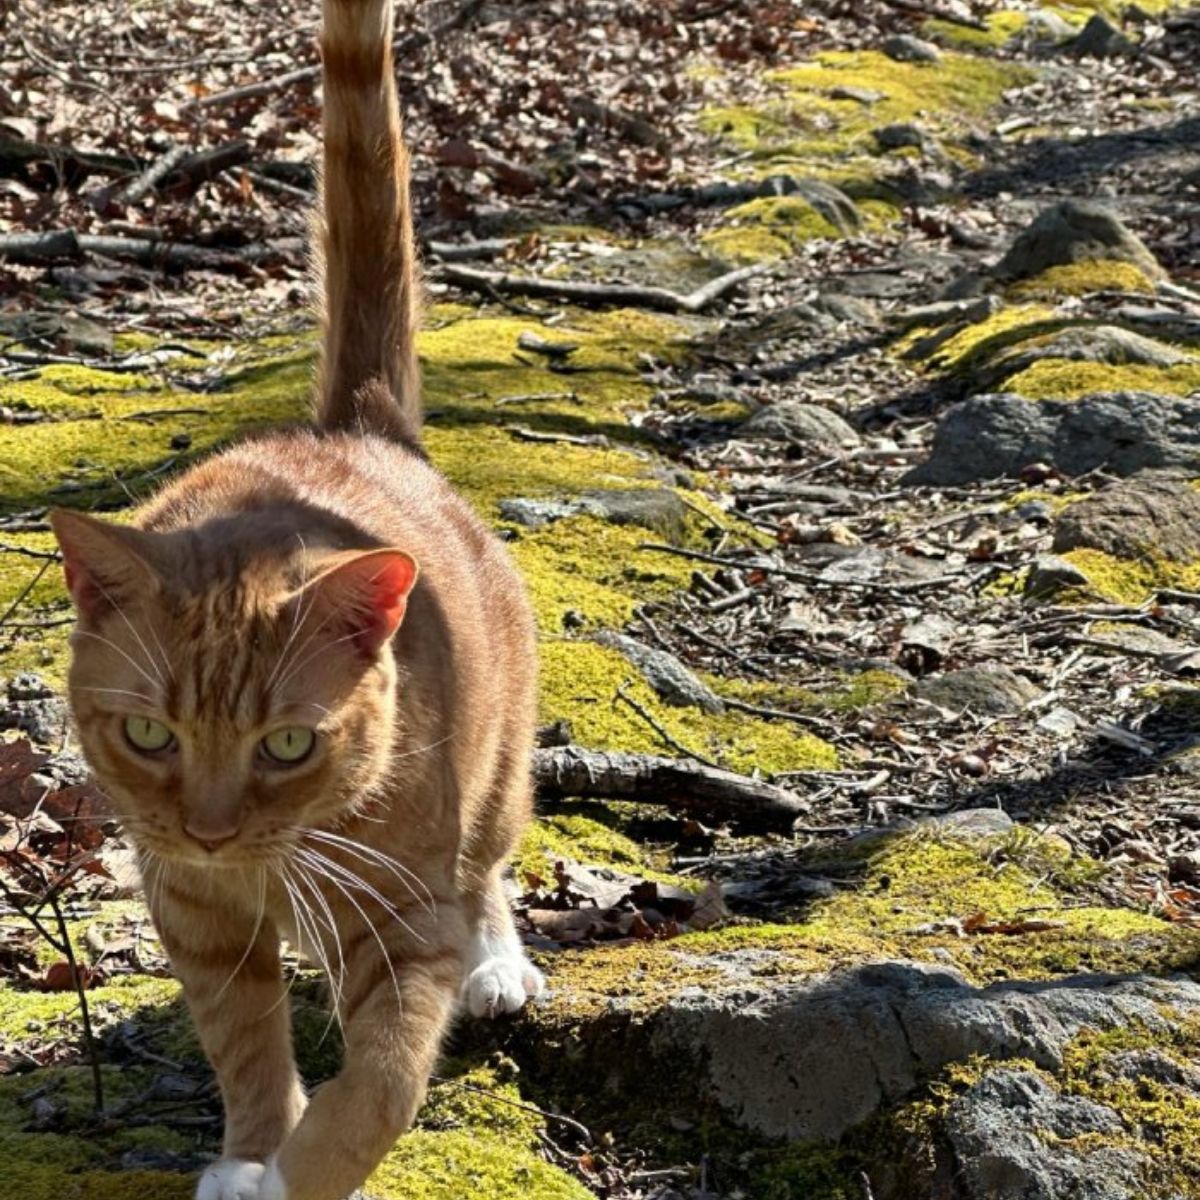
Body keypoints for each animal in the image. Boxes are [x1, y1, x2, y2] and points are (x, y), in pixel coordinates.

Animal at [51, 0, 544, 1195]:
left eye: (286, 744)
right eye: (149, 734)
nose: (213, 830)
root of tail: (358, 426)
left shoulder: (405, 921)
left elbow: (382, 1085)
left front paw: (298, 1171)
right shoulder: (194, 911)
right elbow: (243, 1038)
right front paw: (253, 1151)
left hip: (499, 780)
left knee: (492, 866)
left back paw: (499, 963)